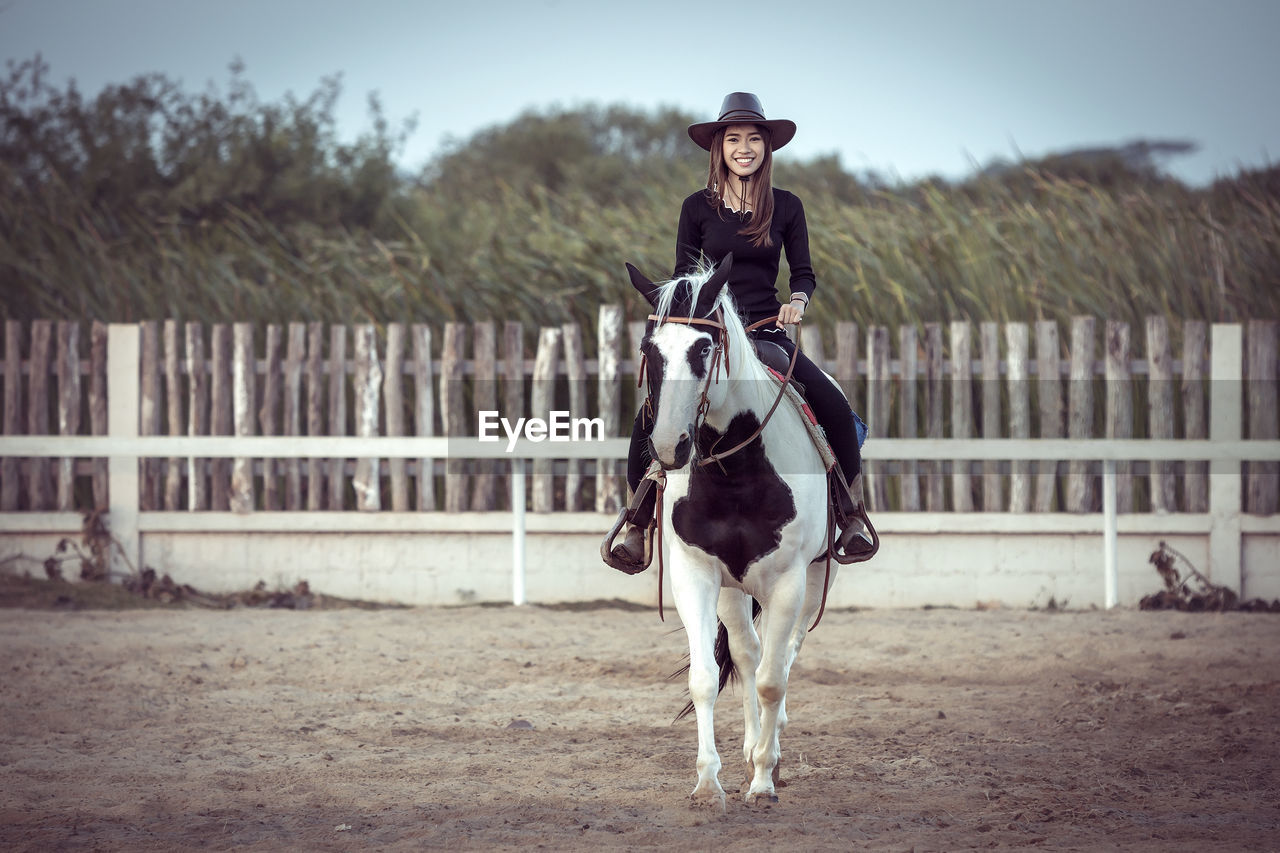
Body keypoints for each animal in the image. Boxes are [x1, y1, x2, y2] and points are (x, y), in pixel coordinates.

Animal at [627, 252, 844, 804]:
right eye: (649, 350)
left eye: (705, 348)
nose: (669, 447)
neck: (735, 474)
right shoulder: (696, 574)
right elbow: (706, 677)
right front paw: (709, 782)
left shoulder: (788, 580)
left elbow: (772, 679)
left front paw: (764, 780)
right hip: (733, 589)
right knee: (748, 654)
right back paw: (748, 747)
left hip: (815, 577)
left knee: (782, 657)